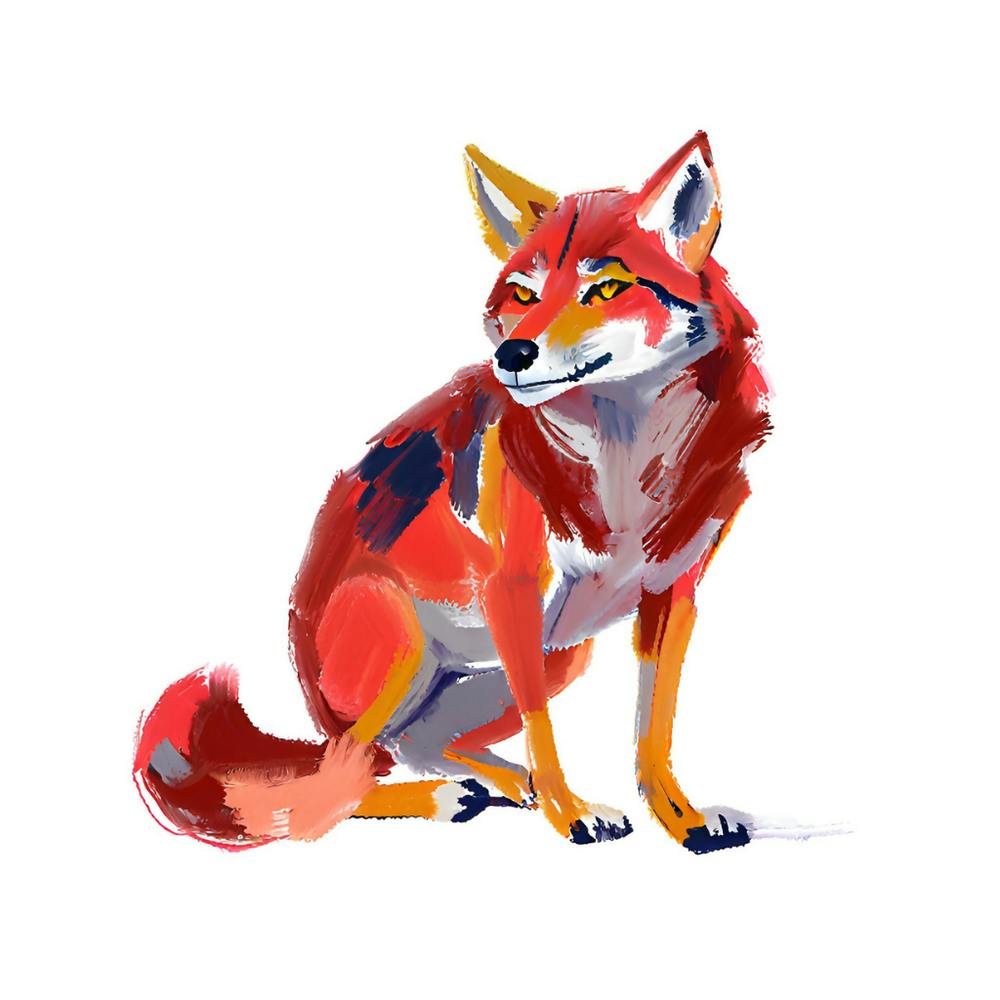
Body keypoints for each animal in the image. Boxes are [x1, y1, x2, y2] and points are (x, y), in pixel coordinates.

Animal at [134, 132, 771, 853]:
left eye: (606, 287)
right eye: (523, 295)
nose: (514, 355)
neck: (627, 461)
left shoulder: (674, 592)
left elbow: (652, 728)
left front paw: (681, 815)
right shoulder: (512, 590)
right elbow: (545, 730)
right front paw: (571, 812)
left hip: (562, 653)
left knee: (414, 746)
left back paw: (499, 781)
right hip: (408, 644)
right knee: (334, 784)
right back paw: (449, 795)